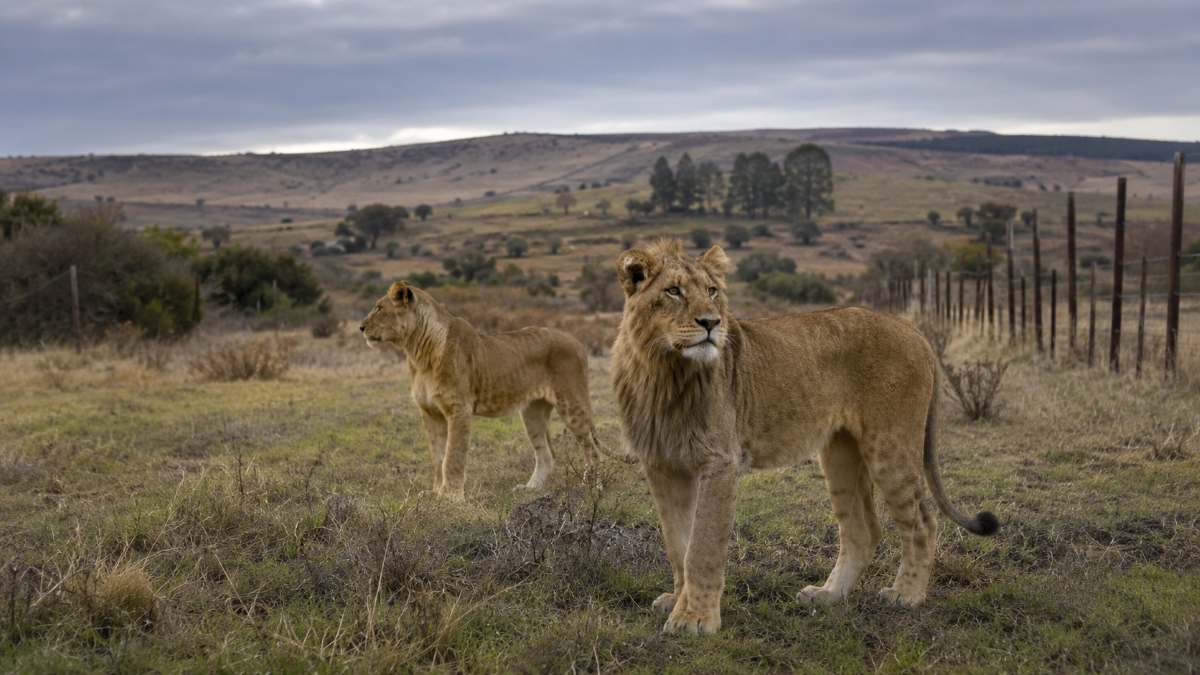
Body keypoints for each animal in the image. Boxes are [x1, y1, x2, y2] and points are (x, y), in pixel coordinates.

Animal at [360, 281, 614, 497]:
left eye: (379, 308)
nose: (361, 327)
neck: (417, 353)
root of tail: (578, 341)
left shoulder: (459, 409)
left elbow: (452, 457)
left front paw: (451, 497)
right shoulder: (430, 413)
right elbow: (437, 458)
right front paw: (435, 494)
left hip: (572, 403)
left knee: (592, 449)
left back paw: (594, 488)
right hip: (532, 412)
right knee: (546, 454)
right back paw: (530, 489)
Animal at [611, 239, 998, 635]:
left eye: (712, 291)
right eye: (673, 291)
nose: (711, 323)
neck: (664, 370)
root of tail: (914, 331)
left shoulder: (719, 462)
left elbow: (702, 546)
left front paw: (695, 619)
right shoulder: (662, 464)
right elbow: (678, 543)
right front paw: (678, 601)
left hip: (890, 446)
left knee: (922, 521)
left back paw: (906, 595)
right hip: (840, 452)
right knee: (862, 530)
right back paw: (828, 595)